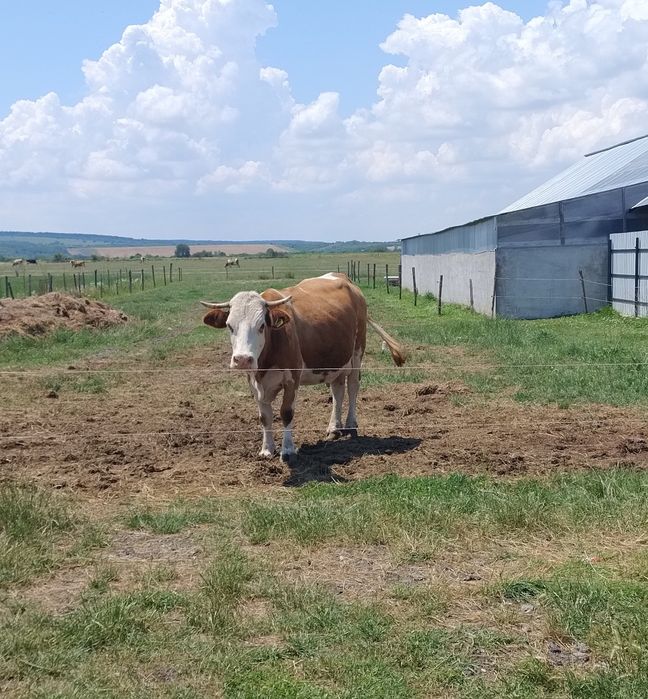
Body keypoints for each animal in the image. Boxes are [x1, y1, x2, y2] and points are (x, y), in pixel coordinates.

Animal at [201, 272, 406, 460]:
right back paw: (334, 427)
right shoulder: (254, 382)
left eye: (261, 326)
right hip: (336, 362)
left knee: (353, 387)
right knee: (338, 391)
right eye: (230, 326)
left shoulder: (292, 379)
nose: (243, 359)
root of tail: (344, 278)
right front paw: (267, 449)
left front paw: (287, 449)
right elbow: (264, 417)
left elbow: (286, 413)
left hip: (357, 353)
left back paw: (350, 424)